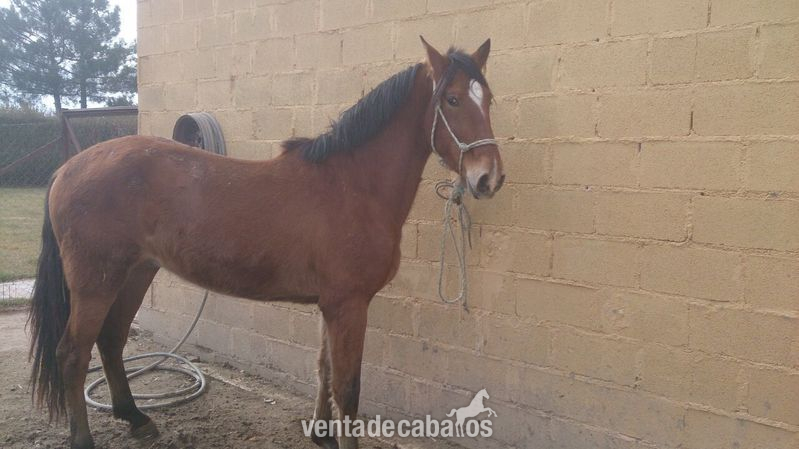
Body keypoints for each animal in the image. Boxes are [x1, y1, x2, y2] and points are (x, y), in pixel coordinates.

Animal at [28, 37, 504, 449]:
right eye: (452, 100)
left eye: (488, 99)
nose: (489, 179)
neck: (352, 185)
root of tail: (69, 167)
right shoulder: (349, 304)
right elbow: (348, 387)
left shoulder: (331, 305)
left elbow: (323, 370)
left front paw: (321, 434)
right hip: (96, 282)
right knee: (73, 353)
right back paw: (84, 438)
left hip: (135, 273)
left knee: (111, 340)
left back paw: (136, 418)